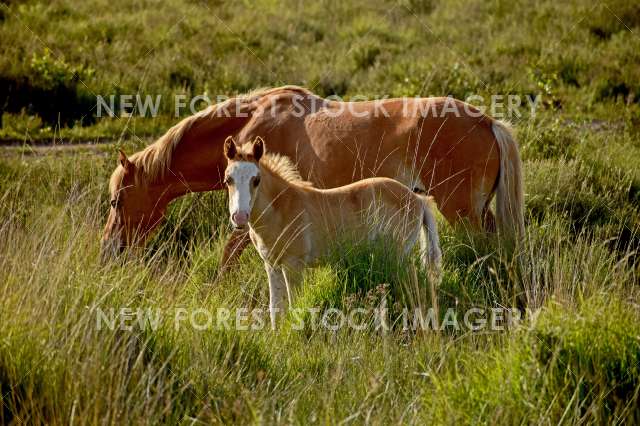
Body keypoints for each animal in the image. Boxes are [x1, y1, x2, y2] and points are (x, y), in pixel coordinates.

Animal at [101, 85, 523, 265]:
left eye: (117, 200)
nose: (109, 248)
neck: (255, 120)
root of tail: (488, 122)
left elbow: (227, 257)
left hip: (460, 212)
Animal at [223, 136, 442, 326]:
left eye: (256, 179)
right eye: (228, 179)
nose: (239, 218)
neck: (282, 208)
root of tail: (418, 200)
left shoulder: (294, 264)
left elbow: (294, 306)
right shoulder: (272, 264)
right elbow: (275, 309)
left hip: (397, 254)